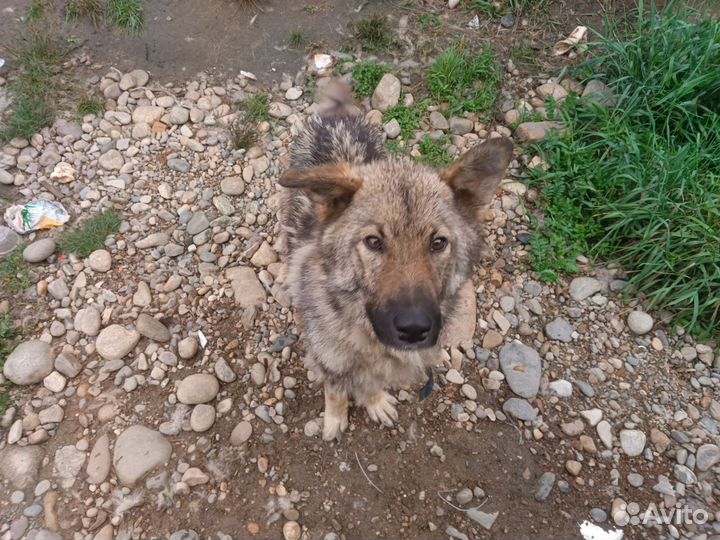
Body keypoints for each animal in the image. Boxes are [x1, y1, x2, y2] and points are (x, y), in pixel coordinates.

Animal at [276, 90, 512, 440]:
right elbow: (335, 391)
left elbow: (371, 384)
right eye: (374, 242)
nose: (414, 329)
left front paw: (373, 402)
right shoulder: (328, 360)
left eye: (438, 243)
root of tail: (337, 117)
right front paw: (335, 418)